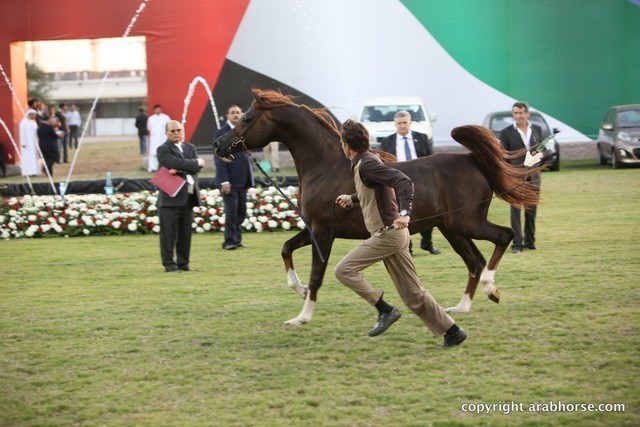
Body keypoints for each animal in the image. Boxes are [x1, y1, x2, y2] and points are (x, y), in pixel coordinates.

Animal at [214, 89, 539, 327]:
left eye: (246, 117)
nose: (218, 145)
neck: (327, 165)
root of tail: (472, 160)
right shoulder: (314, 229)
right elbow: (286, 248)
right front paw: (299, 289)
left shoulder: (323, 231)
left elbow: (317, 273)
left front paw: (302, 317)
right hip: (452, 229)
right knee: (474, 260)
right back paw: (461, 307)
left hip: (466, 223)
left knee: (504, 236)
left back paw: (490, 288)